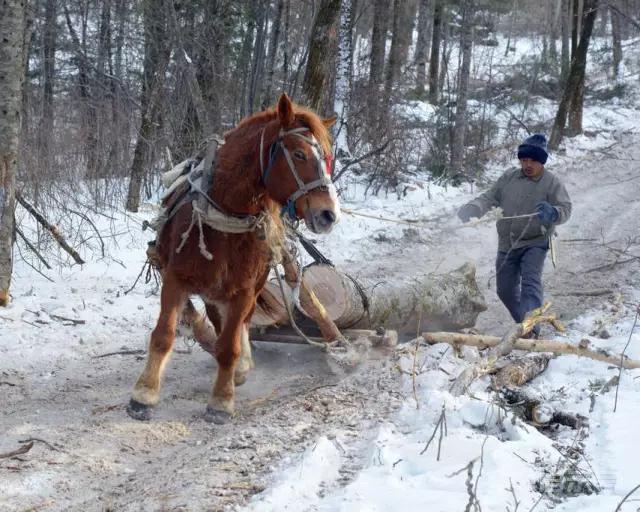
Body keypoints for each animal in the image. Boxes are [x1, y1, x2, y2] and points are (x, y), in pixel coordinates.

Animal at [127, 93, 342, 424]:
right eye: (299, 154)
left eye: (329, 159)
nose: (329, 214)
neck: (225, 215)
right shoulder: (176, 278)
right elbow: (163, 335)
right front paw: (144, 394)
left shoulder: (243, 288)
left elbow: (229, 345)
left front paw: (221, 400)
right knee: (217, 320)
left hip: (252, 283)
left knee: (242, 322)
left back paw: (240, 367)